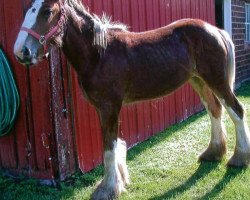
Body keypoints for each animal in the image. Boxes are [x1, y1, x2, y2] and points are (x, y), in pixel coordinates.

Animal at [14, 0, 250, 199]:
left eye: (47, 11)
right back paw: (213, 153)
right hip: (198, 80)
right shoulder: (105, 108)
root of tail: (216, 30)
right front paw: (119, 181)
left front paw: (108, 188)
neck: (98, 53)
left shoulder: (109, 107)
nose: (21, 52)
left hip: (216, 80)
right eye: (26, 10)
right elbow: (114, 144)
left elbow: (109, 148)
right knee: (215, 110)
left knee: (236, 111)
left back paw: (239, 159)